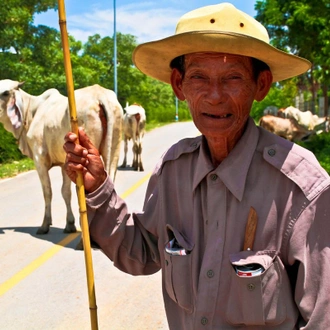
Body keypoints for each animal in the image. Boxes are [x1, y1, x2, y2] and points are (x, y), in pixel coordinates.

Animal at [0, 80, 122, 235]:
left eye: (5, 93)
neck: (32, 111)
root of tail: (100, 95)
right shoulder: (65, 162)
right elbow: (65, 192)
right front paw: (69, 224)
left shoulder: (40, 160)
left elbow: (47, 192)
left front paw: (44, 225)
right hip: (114, 149)